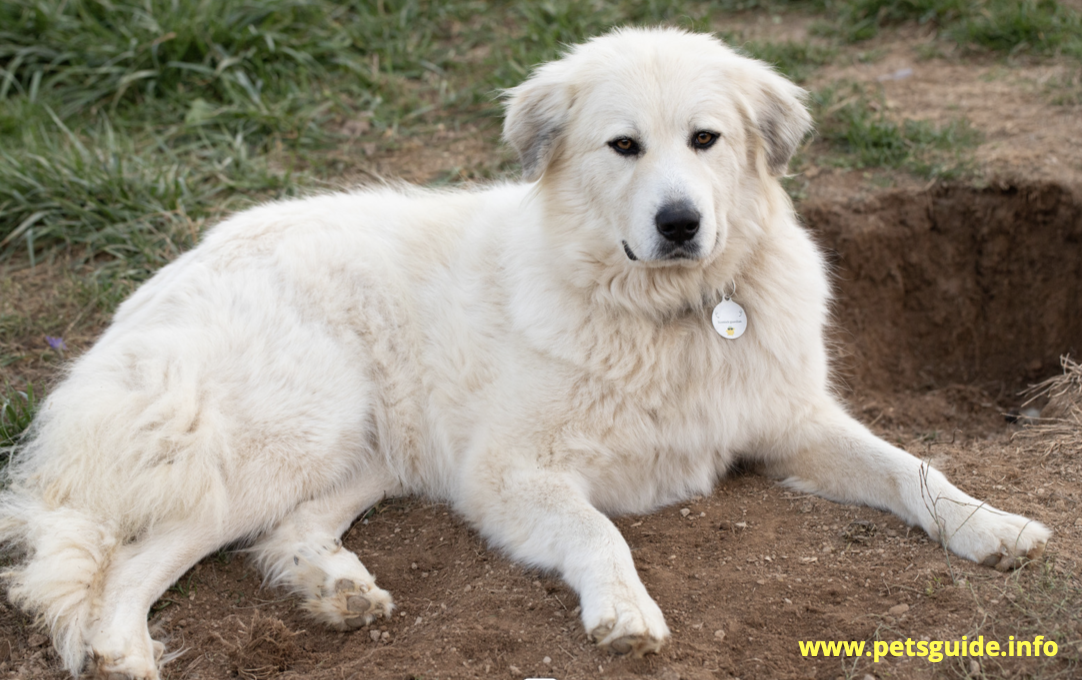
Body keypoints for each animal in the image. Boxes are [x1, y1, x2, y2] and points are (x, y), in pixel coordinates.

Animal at [0, 27, 1047, 680]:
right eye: (623, 146)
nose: (680, 223)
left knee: (281, 534)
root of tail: (163, 281)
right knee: (137, 556)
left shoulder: (795, 424)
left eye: (706, 139)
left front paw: (992, 527)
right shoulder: (509, 471)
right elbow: (600, 533)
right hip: (294, 427)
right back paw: (126, 648)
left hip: (368, 451)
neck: (666, 315)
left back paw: (336, 592)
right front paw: (623, 613)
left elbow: (914, 468)